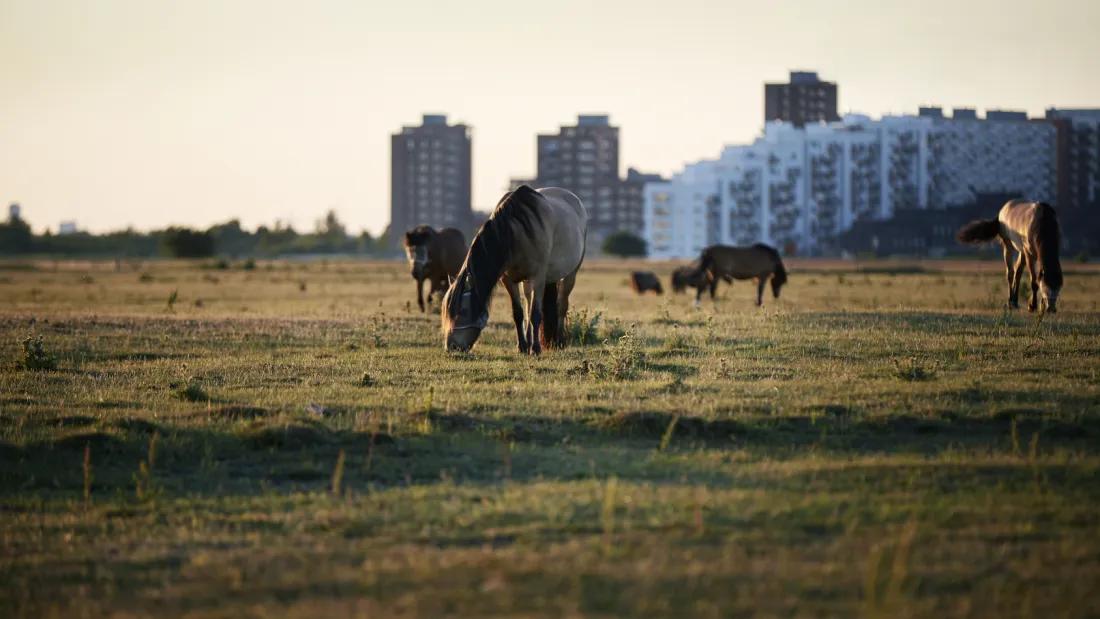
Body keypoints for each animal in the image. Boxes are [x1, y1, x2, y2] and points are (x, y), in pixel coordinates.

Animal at [442, 183, 589, 356]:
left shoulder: (539, 278)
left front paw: (536, 349)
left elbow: (535, 314)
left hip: (570, 274)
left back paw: (559, 341)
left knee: (561, 305)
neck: (516, 234)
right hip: (526, 282)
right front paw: (523, 346)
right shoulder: (509, 280)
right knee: (528, 304)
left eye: (463, 311)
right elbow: (518, 314)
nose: (451, 347)